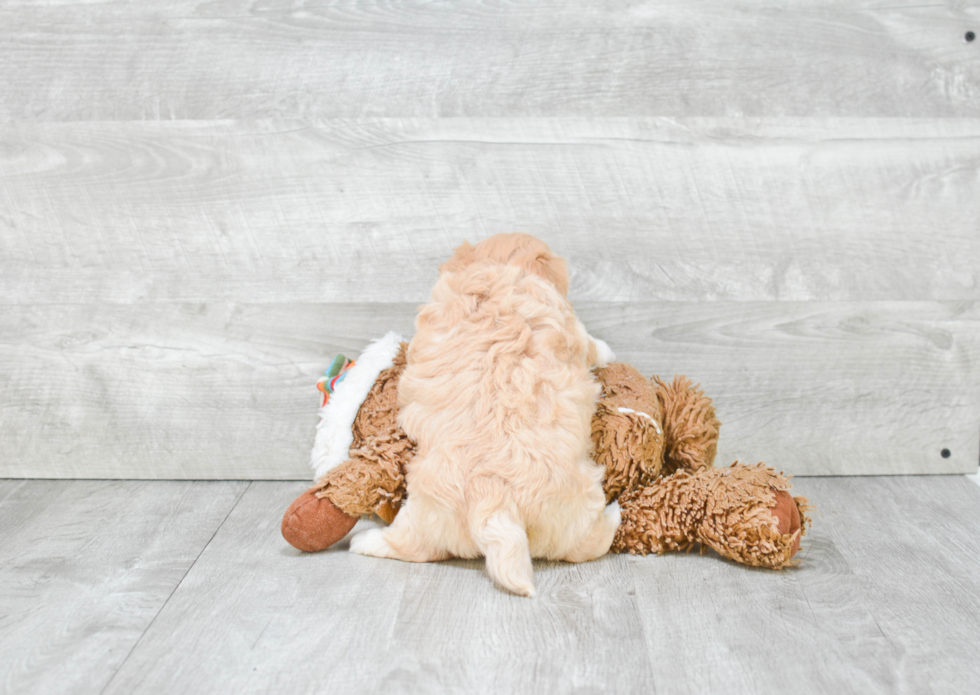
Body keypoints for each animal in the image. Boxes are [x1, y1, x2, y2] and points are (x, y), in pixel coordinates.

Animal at [348, 234, 616, 600]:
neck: (496, 270)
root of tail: (492, 494)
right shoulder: (572, 328)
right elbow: (592, 344)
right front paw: (607, 349)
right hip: (575, 517)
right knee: (589, 545)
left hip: (426, 513)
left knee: (411, 547)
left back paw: (365, 540)